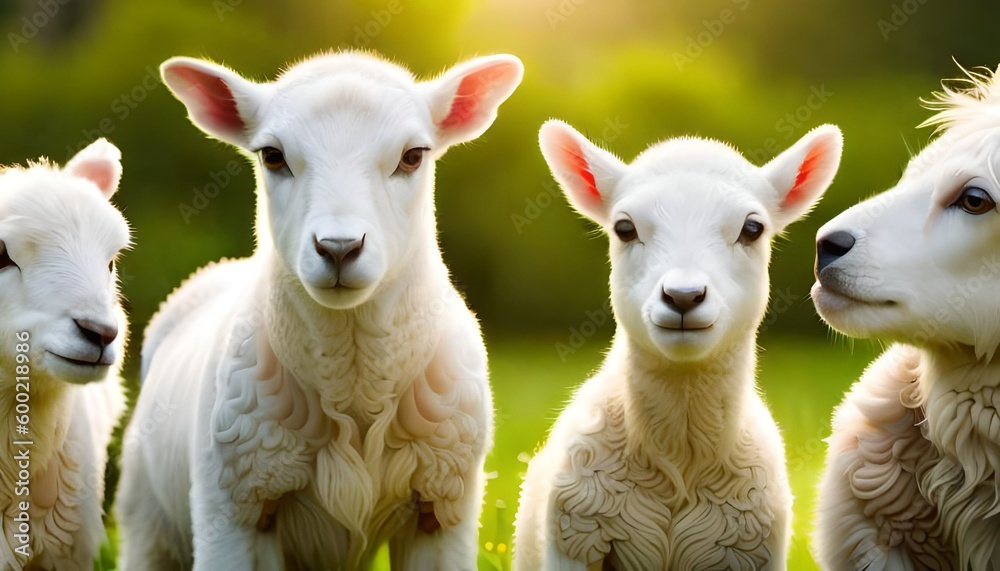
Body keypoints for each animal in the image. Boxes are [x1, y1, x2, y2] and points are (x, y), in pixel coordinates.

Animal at [115, 51, 523, 570]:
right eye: (272, 156)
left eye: (413, 155)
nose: (339, 248)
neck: (353, 382)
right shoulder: (233, 509)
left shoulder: (442, 507)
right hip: (146, 515)